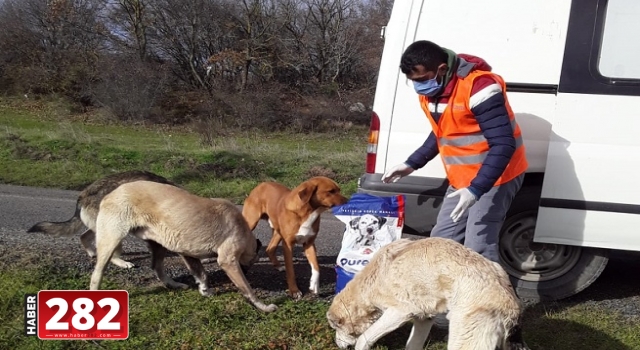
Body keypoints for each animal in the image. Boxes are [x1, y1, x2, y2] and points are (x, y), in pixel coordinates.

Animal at [90, 182, 278, 314]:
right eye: (251, 263)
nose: (245, 271)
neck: (244, 230)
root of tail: (109, 194)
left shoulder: (187, 253)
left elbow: (202, 274)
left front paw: (204, 290)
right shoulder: (228, 261)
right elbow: (248, 289)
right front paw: (263, 306)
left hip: (159, 244)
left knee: (157, 267)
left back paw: (174, 284)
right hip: (112, 239)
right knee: (97, 272)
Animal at [324, 238, 524, 350]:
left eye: (336, 328)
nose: (338, 345)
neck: (374, 277)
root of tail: (511, 303)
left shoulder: (399, 313)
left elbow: (363, 339)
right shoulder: (424, 318)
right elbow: (412, 345)